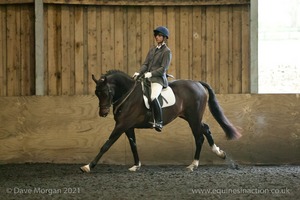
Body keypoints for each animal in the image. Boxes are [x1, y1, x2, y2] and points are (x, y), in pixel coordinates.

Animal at [80, 70, 241, 172]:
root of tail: (197, 83)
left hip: (193, 117)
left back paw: (193, 164)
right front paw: (136, 165)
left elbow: (106, 145)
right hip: (189, 117)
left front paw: (88, 166)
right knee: (206, 128)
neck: (128, 95)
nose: (103, 113)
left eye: (106, 92)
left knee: (199, 137)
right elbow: (133, 145)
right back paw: (219, 153)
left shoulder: (122, 125)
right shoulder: (128, 126)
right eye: (96, 93)